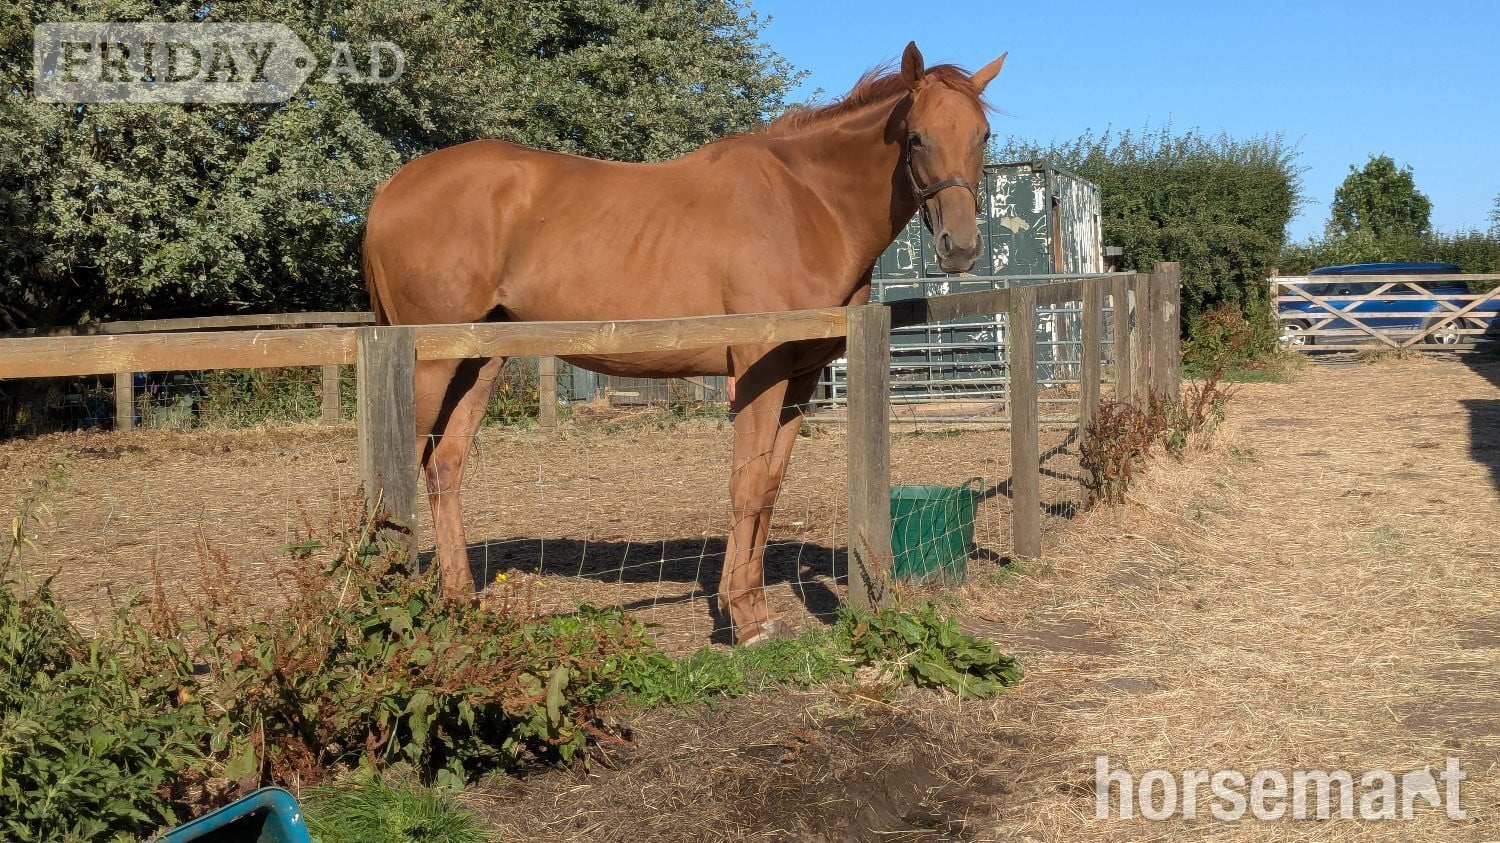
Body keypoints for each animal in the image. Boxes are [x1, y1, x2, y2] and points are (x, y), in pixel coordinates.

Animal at [363, 42, 1004, 645]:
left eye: (982, 135)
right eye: (916, 137)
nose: (961, 247)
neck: (808, 203)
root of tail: (390, 190)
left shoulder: (799, 378)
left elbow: (768, 489)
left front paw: (749, 605)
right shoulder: (759, 371)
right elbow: (745, 485)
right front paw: (743, 619)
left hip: (479, 359)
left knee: (444, 467)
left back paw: (458, 599)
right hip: (429, 366)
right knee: (399, 474)